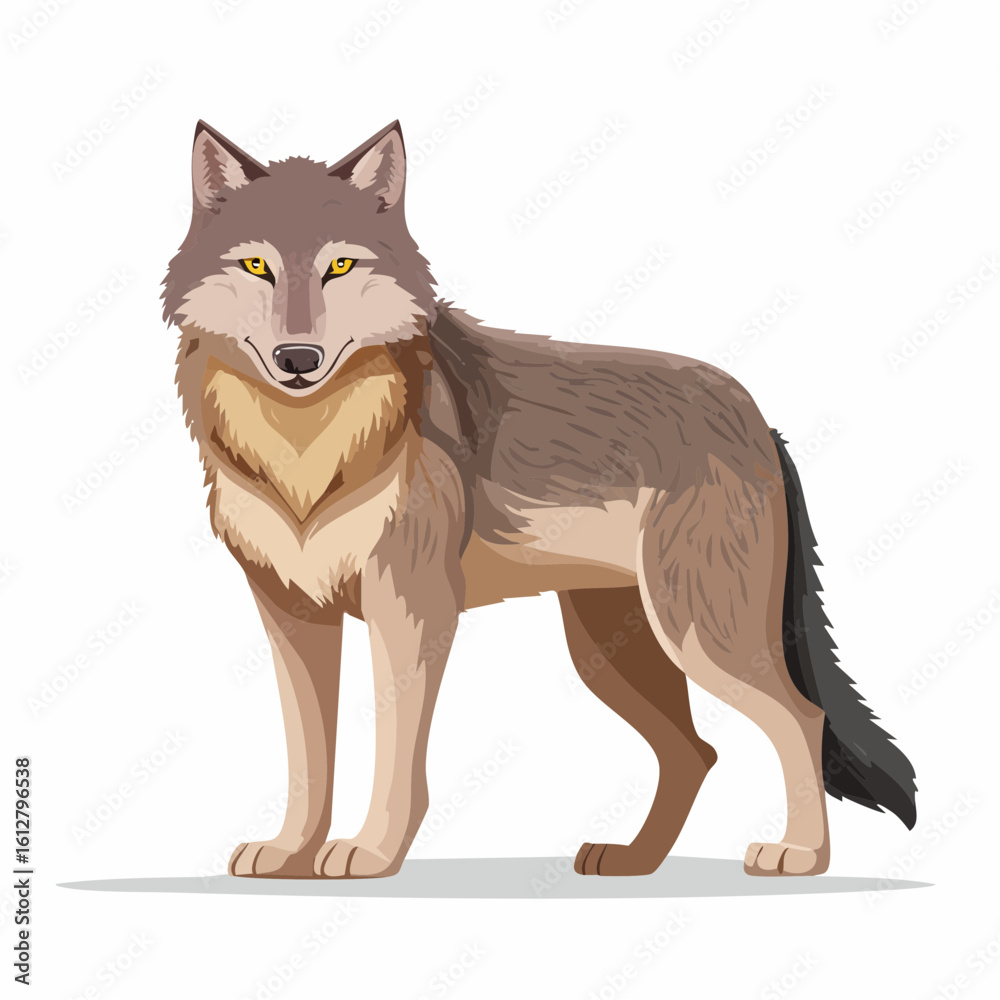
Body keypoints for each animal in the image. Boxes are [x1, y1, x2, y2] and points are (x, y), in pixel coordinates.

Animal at [162, 120, 916, 879]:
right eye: (256, 266)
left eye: (339, 267)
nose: (298, 360)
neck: (307, 447)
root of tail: (761, 419)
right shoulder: (291, 613)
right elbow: (307, 756)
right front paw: (291, 849)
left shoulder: (409, 606)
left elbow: (396, 753)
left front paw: (371, 850)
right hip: (611, 654)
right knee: (695, 751)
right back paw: (634, 859)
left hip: (699, 636)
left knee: (801, 720)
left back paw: (800, 854)